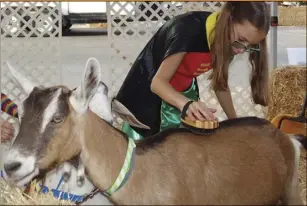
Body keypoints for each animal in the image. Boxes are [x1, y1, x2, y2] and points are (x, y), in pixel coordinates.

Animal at [3, 57, 306, 204]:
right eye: (20, 114)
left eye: (57, 118)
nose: (11, 166)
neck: (142, 173)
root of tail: (284, 137)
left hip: (291, 193)